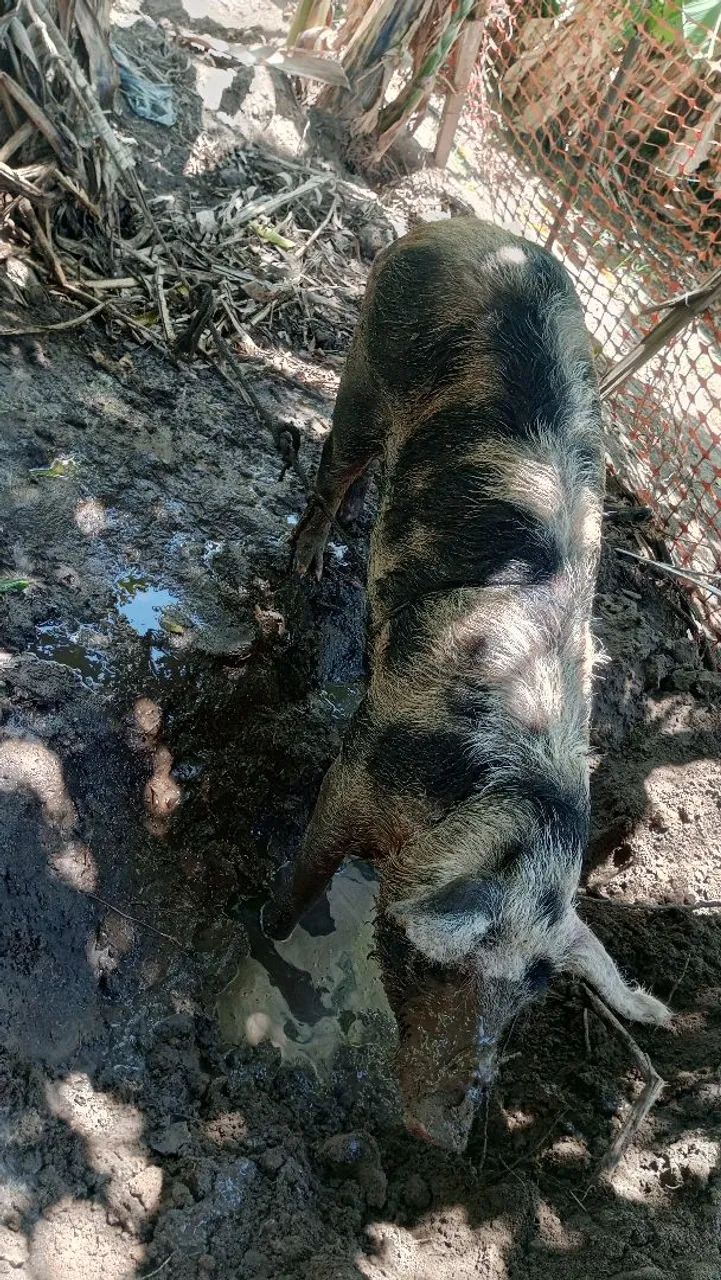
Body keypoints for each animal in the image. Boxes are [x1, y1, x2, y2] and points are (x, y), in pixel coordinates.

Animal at [263, 217, 671, 1149]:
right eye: (455, 967)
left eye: (529, 996)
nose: (450, 1137)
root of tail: (474, 229)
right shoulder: (355, 768)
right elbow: (303, 874)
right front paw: (266, 944)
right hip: (365, 361)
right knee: (334, 466)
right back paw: (301, 576)